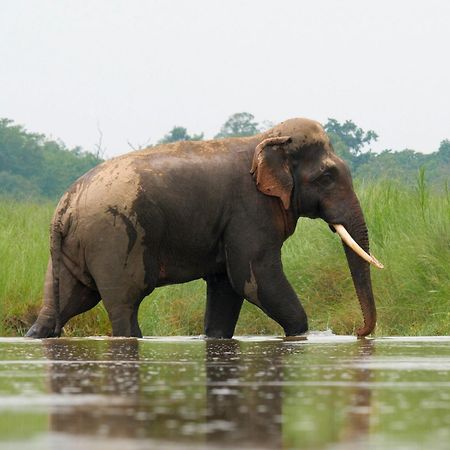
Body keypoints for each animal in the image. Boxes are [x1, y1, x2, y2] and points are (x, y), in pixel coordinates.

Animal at [26, 118, 382, 340]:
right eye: (327, 177)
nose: (358, 333)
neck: (264, 139)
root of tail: (64, 206)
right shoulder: (248, 210)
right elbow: (254, 279)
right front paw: (301, 334)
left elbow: (226, 285)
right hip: (113, 239)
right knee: (124, 304)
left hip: (70, 250)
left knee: (65, 303)